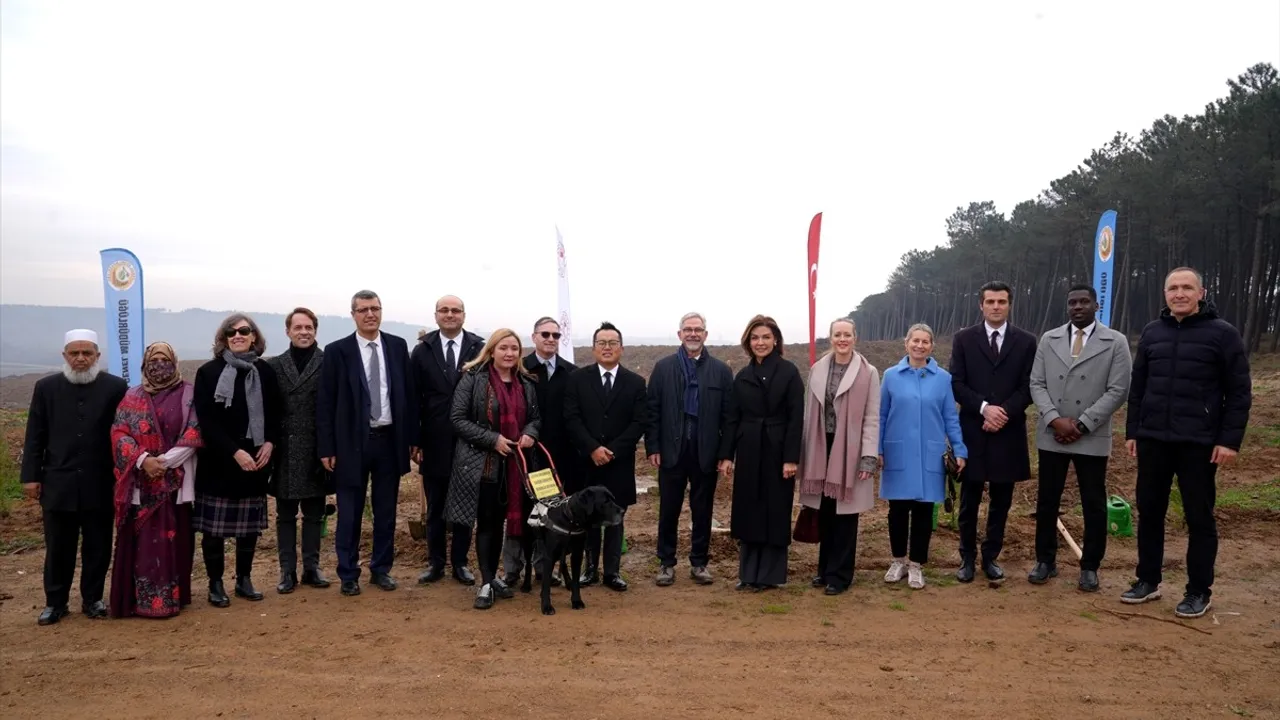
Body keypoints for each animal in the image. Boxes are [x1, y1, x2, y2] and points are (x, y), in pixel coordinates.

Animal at [517, 481, 622, 609]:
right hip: (528, 541)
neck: (569, 519)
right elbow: (546, 583)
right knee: (528, 564)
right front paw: (546, 606)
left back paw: (568, 583)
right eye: (605, 502)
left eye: (613, 499)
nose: (622, 511)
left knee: (563, 564)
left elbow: (576, 581)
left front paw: (576, 601)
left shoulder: (577, 553)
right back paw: (526, 585)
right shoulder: (549, 555)